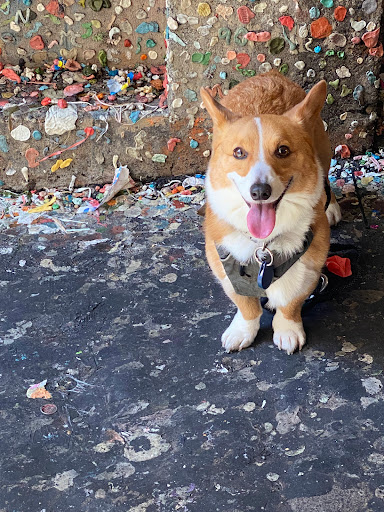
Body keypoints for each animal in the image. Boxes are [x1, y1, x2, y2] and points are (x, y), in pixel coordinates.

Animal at [200, 70, 340, 354]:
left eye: (283, 150)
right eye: (238, 152)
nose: (259, 192)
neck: (262, 245)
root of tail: (270, 75)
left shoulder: (309, 267)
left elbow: (290, 303)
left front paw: (287, 330)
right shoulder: (223, 266)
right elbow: (246, 306)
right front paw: (242, 330)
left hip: (324, 150)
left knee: (326, 179)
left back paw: (331, 206)